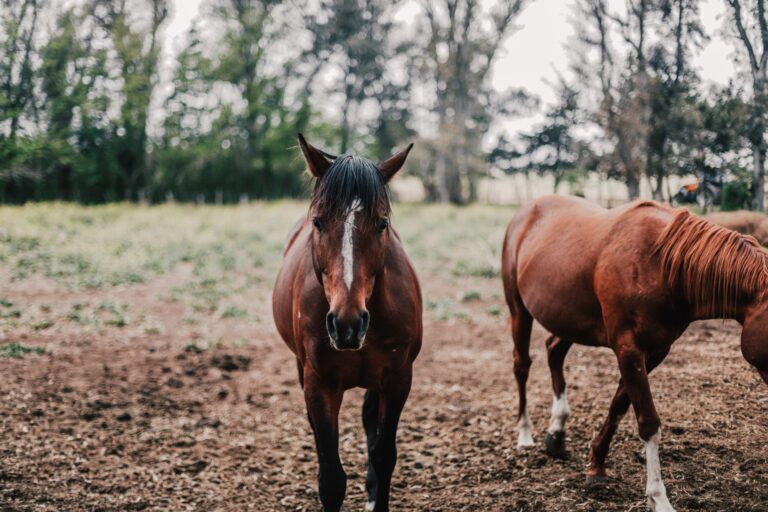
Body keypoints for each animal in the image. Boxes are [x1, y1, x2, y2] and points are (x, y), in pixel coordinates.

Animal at [272, 135, 422, 512]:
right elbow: (331, 478)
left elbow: (383, 456)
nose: (347, 324)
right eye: (318, 222)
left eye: (382, 223)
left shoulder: (398, 380)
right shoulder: (320, 384)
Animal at [501, 195, 768, 512]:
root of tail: (526, 211)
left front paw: (597, 464)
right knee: (521, 366)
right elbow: (648, 422)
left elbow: (619, 405)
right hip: (519, 309)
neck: (663, 265)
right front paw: (659, 498)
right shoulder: (627, 348)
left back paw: (556, 432)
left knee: (554, 351)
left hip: (567, 317)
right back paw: (524, 433)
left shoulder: (654, 352)